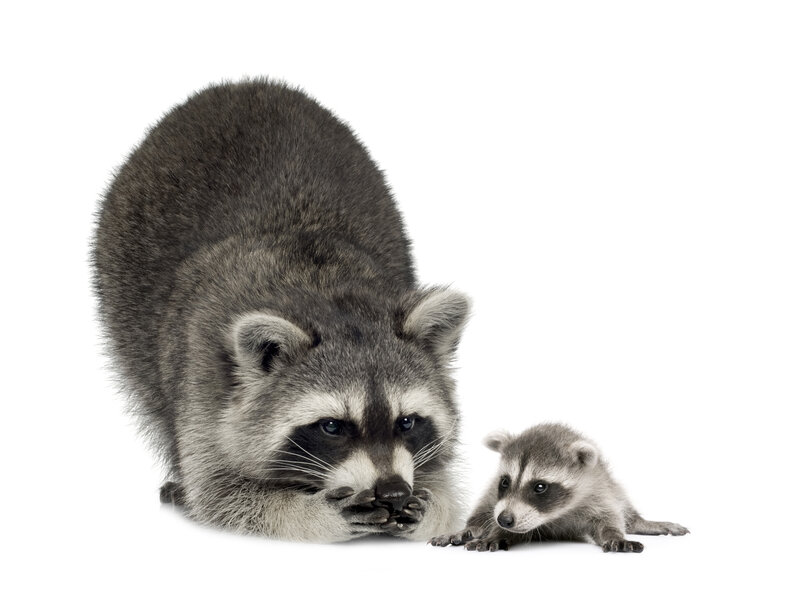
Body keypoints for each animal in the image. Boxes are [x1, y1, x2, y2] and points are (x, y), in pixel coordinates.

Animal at [92, 79, 470, 542]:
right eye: (332, 426)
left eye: (407, 422)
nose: (393, 492)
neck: (326, 295)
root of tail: (245, 85)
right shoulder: (205, 376)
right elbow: (222, 493)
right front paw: (316, 513)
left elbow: (442, 485)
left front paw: (430, 503)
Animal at [430, 423, 688, 552]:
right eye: (505, 481)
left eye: (540, 486)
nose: (504, 520)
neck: (555, 514)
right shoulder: (497, 494)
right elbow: (490, 514)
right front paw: (494, 532)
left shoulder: (598, 491)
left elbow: (609, 520)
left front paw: (614, 534)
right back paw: (470, 528)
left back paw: (641, 522)